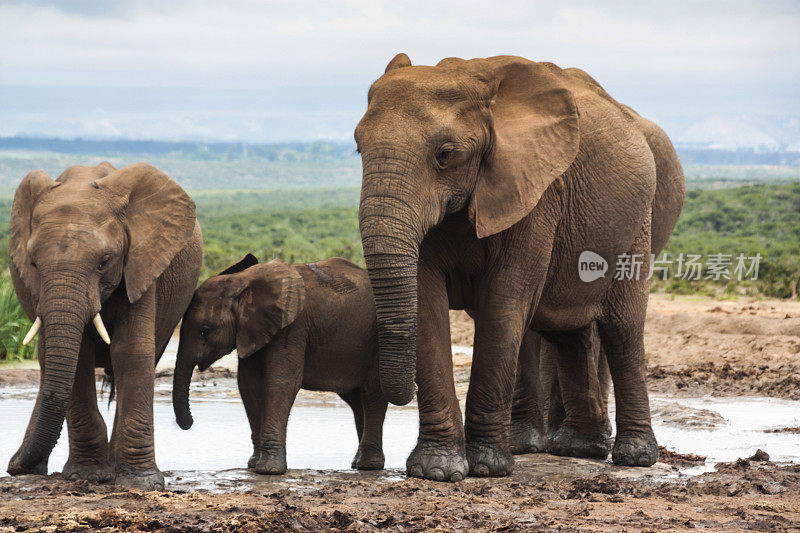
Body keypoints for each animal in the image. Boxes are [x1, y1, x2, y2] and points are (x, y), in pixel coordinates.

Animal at [6, 163, 203, 490]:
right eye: (33, 264)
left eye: (104, 262)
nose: (18, 465)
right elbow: (75, 357)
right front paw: (87, 476)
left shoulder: (140, 264)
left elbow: (131, 352)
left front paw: (140, 484)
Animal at [173, 254, 390, 474]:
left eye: (204, 331)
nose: (190, 423)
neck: (241, 280)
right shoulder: (252, 329)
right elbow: (249, 385)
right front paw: (254, 464)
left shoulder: (293, 326)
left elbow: (281, 382)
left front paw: (269, 470)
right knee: (355, 399)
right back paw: (358, 463)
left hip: (378, 342)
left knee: (372, 393)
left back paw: (368, 465)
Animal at [356, 55, 680, 482]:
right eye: (358, 148)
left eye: (445, 154)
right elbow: (426, 304)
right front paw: (437, 470)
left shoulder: (536, 193)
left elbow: (503, 303)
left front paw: (487, 467)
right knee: (568, 328)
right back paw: (577, 448)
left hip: (638, 224)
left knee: (621, 327)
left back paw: (634, 456)